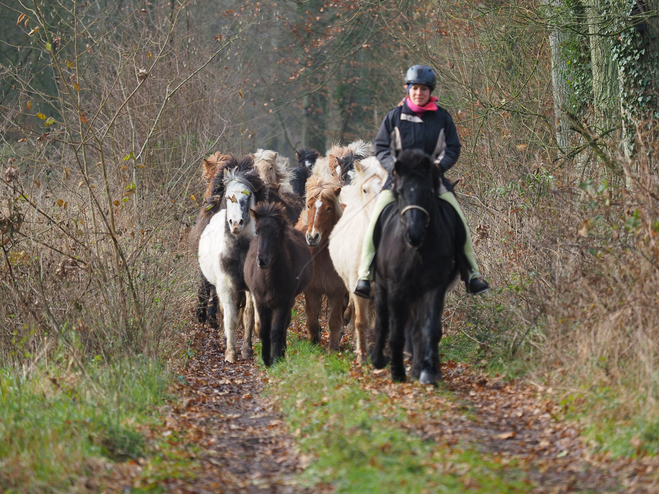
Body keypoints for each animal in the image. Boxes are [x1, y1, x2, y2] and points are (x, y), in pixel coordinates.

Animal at [197, 158, 266, 362]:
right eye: (228, 197)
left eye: (247, 197)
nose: (236, 224)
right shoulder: (226, 285)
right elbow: (230, 317)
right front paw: (230, 353)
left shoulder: (251, 287)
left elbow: (248, 316)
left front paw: (247, 349)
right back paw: (223, 337)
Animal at [244, 201, 314, 366]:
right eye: (257, 232)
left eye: (276, 233)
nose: (262, 261)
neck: (270, 280)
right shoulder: (261, 302)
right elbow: (264, 331)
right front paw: (265, 359)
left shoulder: (283, 302)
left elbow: (276, 330)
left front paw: (276, 358)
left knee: (284, 326)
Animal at [294, 177, 346, 352]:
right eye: (309, 206)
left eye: (329, 208)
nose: (312, 237)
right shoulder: (312, 289)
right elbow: (311, 317)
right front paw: (313, 340)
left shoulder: (338, 291)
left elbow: (335, 320)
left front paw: (333, 348)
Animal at [372, 149, 470, 384]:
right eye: (399, 191)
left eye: (428, 192)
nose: (414, 234)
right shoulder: (396, 287)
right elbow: (396, 330)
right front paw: (397, 371)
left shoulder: (434, 287)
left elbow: (429, 328)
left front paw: (428, 371)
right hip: (381, 286)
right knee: (382, 318)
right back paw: (378, 359)